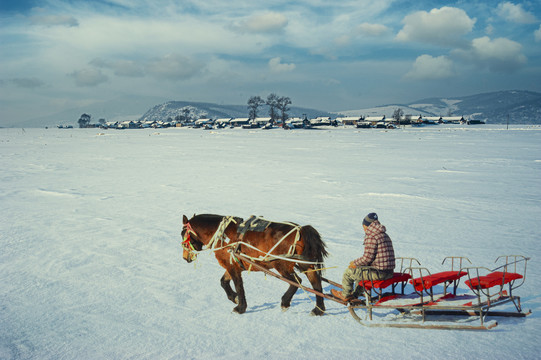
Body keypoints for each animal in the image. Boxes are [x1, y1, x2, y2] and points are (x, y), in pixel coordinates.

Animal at [179, 214, 326, 316]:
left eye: (183, 234)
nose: (185, 257)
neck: (222, 235)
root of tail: (301, 230)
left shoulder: (232, 267)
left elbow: (239, 286)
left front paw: (240, 307)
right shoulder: (233, 265)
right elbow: (223, 282)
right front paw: (234, 298)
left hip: (281, 265)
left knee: (296, 281)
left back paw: (285, 302)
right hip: (305, 264)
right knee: (316, 283)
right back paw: (318, 309)